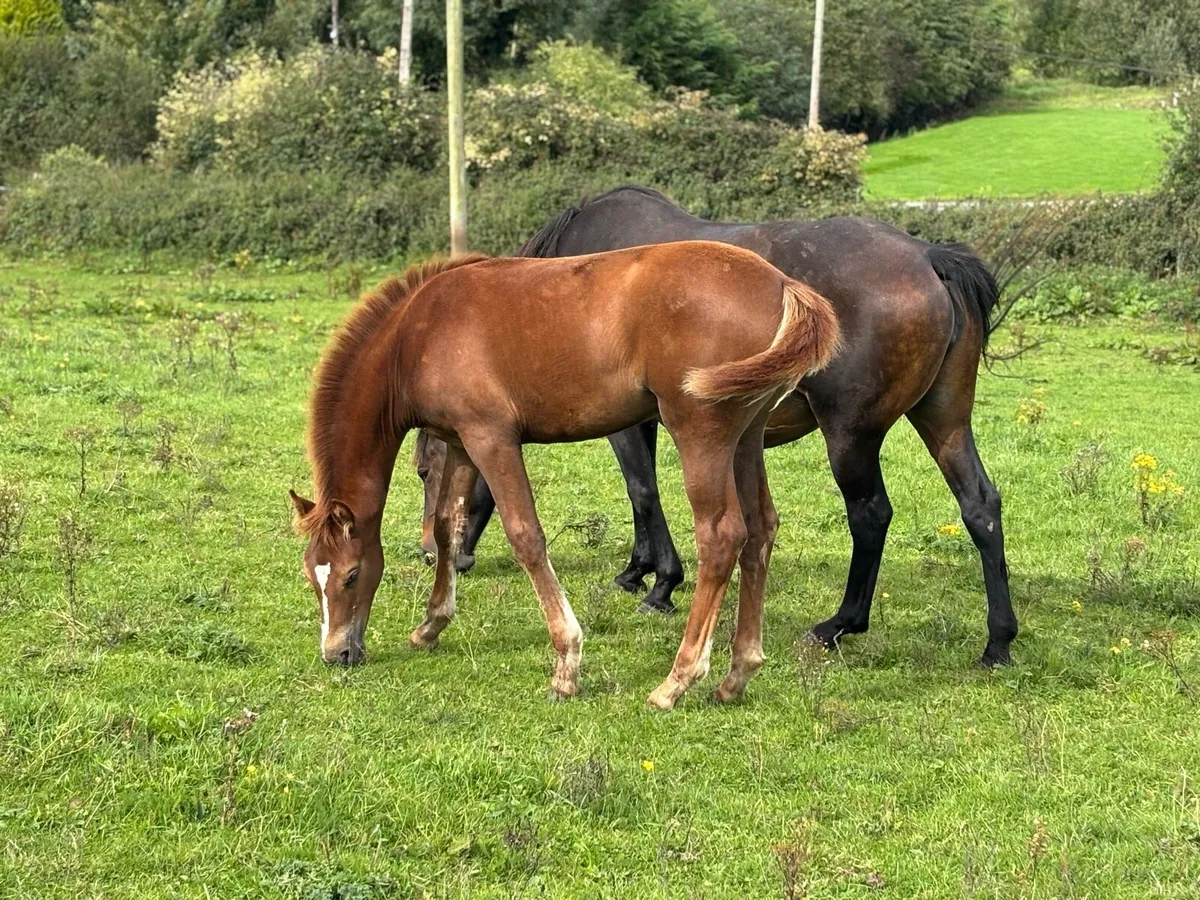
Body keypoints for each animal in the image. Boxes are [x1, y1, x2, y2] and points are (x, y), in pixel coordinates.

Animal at [289, 241, 841, 710]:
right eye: (312, 576)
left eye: (351, 574)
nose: (337, 653)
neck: (419, 333)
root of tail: (780, 284)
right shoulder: (461, 441)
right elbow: (449, 527)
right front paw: (431, 625)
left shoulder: (491, 437)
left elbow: (525, 536)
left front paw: (567, 666)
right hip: (746, 437)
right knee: (761, 530)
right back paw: (737, 674)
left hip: (699, 431)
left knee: (722, 535)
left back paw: (676, 681)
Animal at [414, 186, 1017, 667]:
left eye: (424, 470)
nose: (433, 552)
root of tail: (927, 256)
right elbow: (643, 495)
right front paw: (638, 571)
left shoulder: (624, 425)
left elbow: (642, 490)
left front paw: (661, 583)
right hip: (943, 420)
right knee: (980, 507)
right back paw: (998, 642)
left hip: (851, 437)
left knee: (870, 517)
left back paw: (838, 625)